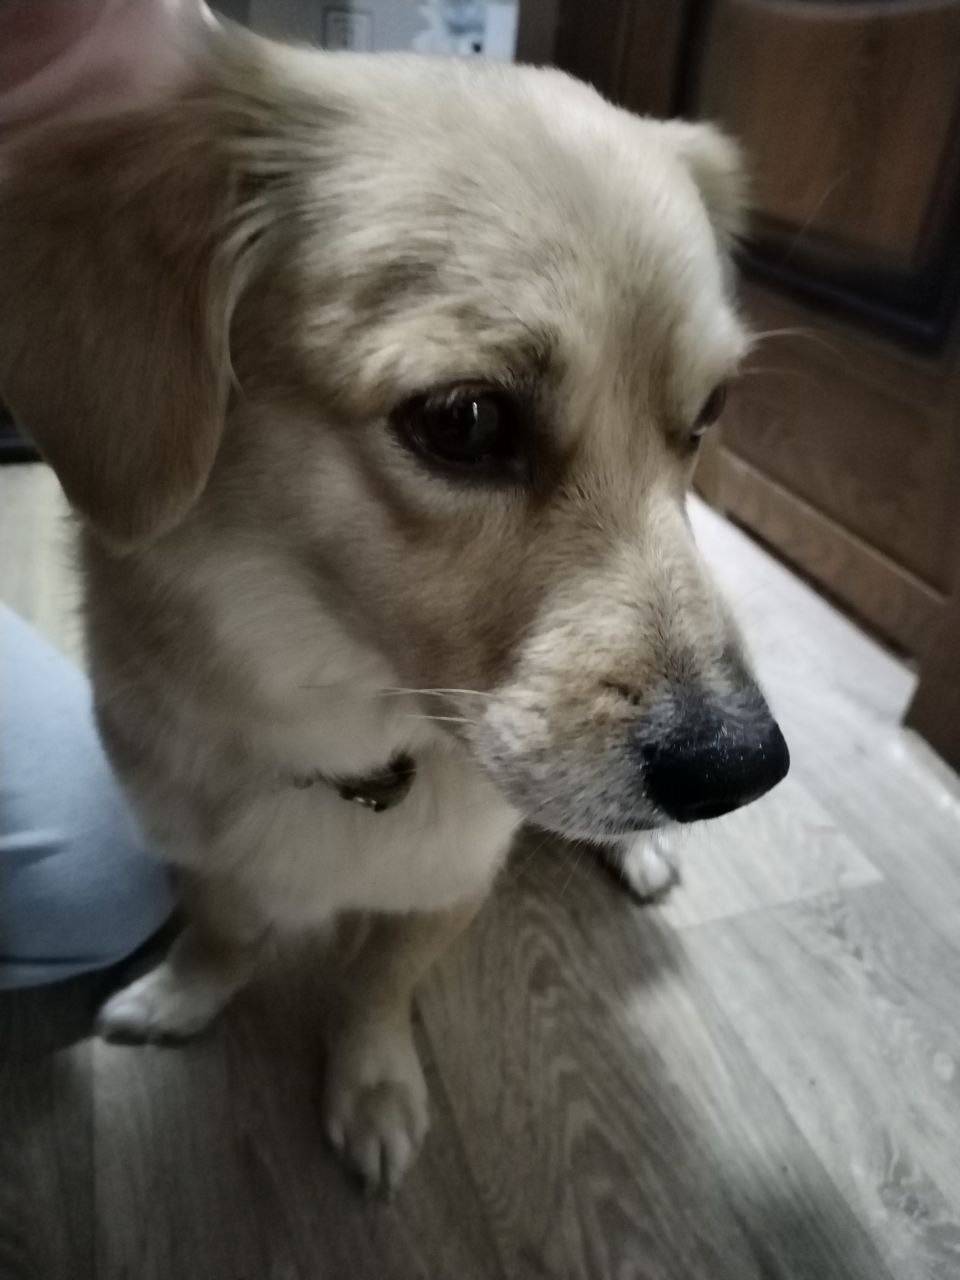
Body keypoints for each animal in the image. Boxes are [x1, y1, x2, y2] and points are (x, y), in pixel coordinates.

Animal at [0, 23, 788, 1192]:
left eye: (709, 414)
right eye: (465, 420)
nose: (741, 768)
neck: (345, 739)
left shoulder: (445, 883)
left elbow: (379, 985)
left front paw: (371, 1086)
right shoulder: (197, 847)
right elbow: (224, 932)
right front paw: (185, 994)